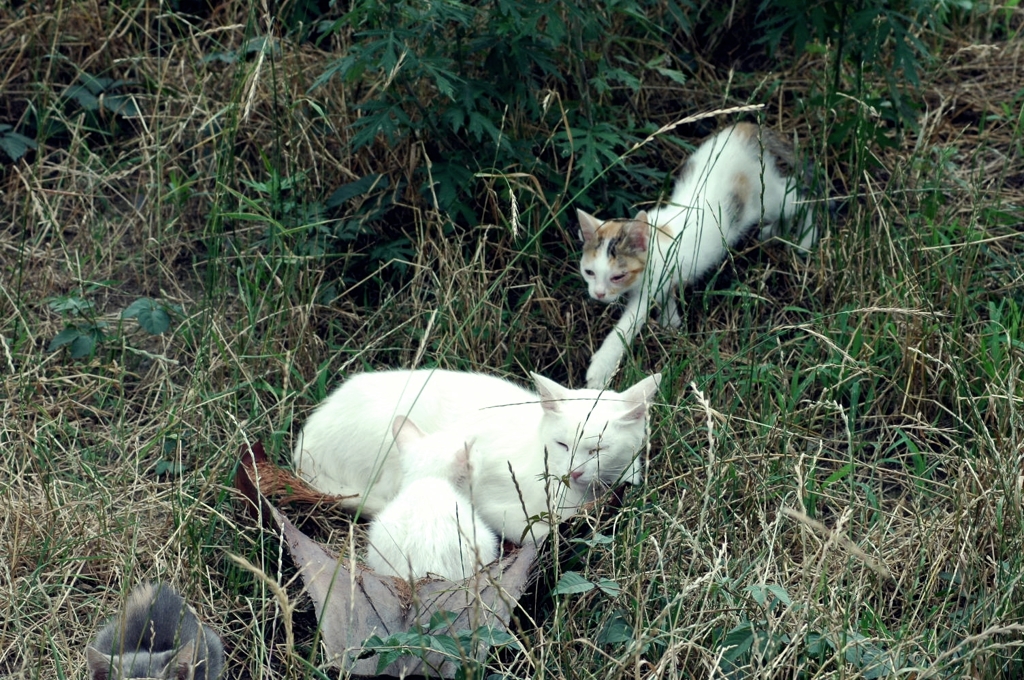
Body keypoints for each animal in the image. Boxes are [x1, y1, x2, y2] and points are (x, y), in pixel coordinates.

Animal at [581, 122, 819, 387]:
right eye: (589, 272)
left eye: (618, 276)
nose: (598, 294)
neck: (656, 243)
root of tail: (742, 129)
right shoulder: (665, 278)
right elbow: (668, 298)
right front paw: (671, 322)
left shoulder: (651, 286)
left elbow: (627, 325)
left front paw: (600, 371)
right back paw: (773, 232)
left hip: (766, 197)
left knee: (797, 196)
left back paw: (805, 239)